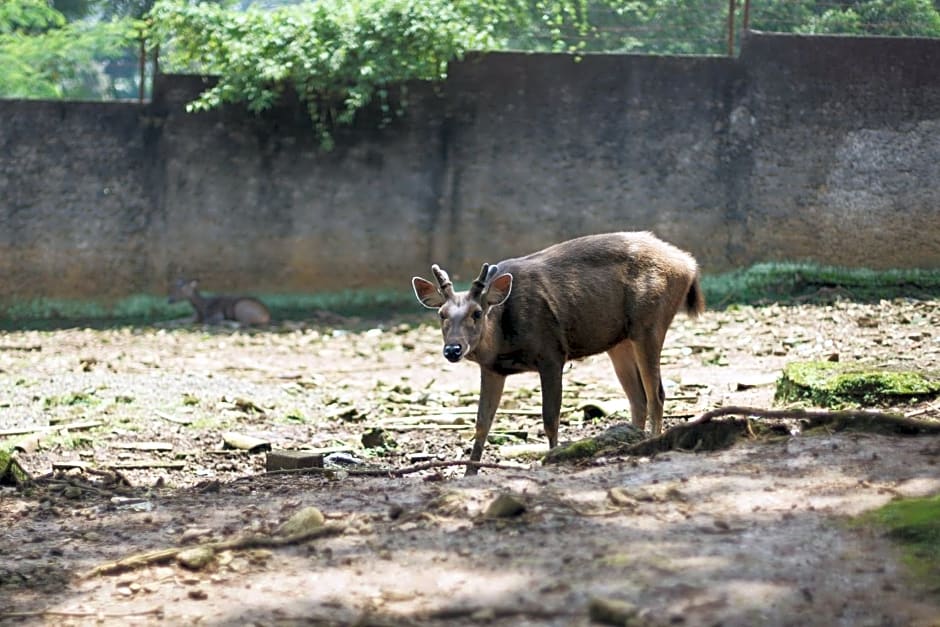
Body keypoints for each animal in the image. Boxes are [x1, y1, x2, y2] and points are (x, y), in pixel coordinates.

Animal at [414, 233, 704, 474]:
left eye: (477, 312)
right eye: (442, 314)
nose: (453, 349)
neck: (503, 338)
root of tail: (689, 265)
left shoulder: (551, 353)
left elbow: (550, 417)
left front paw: (551, 457)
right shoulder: (493, 368)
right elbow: (482, 423)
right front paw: (469, 472)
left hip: (650, 323)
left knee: (656, 394)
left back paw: (652, 443)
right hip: (619, 341)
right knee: (639, 398)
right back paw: (631, 442)